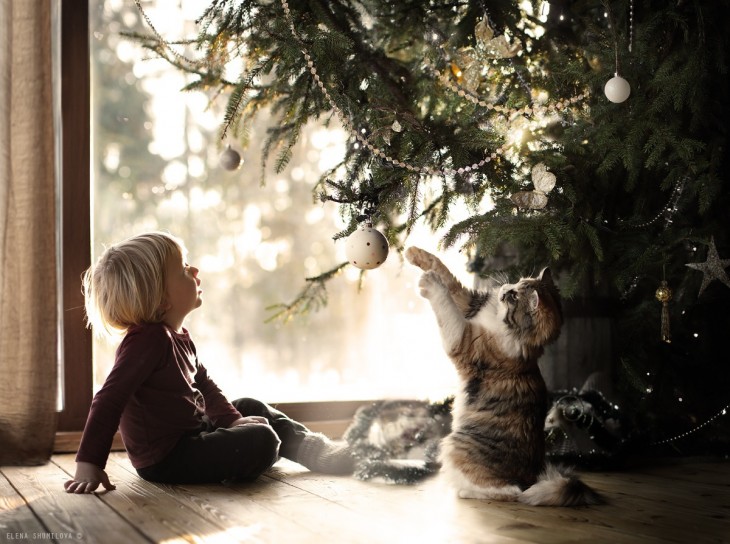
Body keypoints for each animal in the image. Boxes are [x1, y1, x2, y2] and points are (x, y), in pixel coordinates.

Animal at [400, 246, 600, 506]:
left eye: (514, 297)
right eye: (517, 282)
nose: (505, 288)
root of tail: (532, 478)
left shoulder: (464, 340)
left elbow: (445, 301)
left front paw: (430, 283)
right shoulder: (471, 303)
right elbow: (446, 275)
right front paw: (416, 254)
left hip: (455, 443)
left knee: (511, 493)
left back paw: (465, 492)